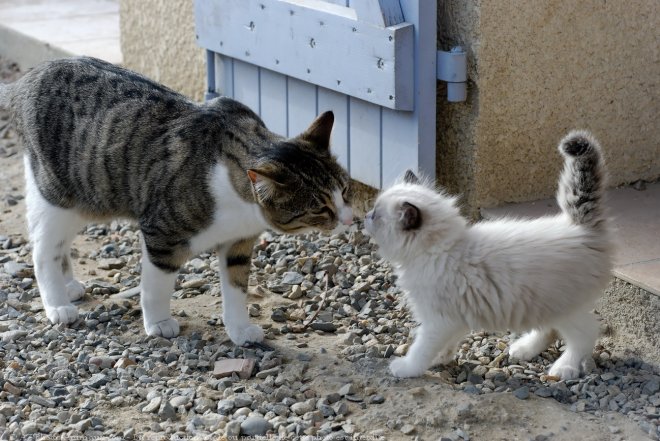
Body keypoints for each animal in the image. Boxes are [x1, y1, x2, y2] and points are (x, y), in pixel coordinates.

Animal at [1, 55, 350, 344]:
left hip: (88, 200)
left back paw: (69, 286)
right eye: (320, 208)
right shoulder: (161, 236)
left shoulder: (238, 244)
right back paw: (57, 304)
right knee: (43, 249)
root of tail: (24, 80)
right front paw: (158, 323)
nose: (348, 220)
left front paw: (239, 329)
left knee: (58, 244)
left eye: (345, 191)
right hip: (59, 196)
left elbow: (236, 288)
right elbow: (157, 285)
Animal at [364, 131, 612, 378]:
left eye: (376, 215)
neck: (441, 248)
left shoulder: (437, 321)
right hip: (540, 306)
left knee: (586, 334)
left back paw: (563, 368)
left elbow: (421, 349)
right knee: (550, 331)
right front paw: (442, 359)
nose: (366, 215)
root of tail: (580, 226)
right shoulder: (455, 319)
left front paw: (407, 368)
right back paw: (524, 349)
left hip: (562, 307)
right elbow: (448, 344)